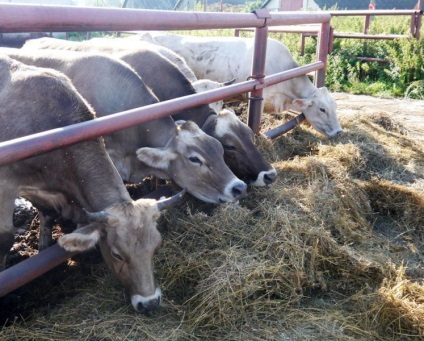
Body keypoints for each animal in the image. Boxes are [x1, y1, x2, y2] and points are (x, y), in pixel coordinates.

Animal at [0, 55, 186, 310]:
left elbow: (48, 217)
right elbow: (5, 238)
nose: (149, 303)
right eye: (117, 254)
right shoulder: (6, 185)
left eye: (157, 246)